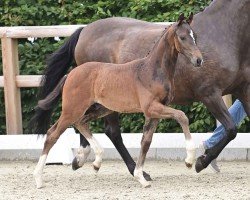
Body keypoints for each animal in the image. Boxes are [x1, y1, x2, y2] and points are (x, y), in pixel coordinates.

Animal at [33, 13, 203, 188]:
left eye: (195, 36)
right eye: (182, 37)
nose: (199, 60)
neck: (151, 71)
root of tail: (70, 74)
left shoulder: (156, 111)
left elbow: (146, 141)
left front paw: (141, 177)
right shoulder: (151, 107)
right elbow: (182, 116)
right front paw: (189, 160)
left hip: (100, 108)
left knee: (81, 123)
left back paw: (97, 161)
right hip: (72, 109)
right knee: (53, 134)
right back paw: (38, 178)